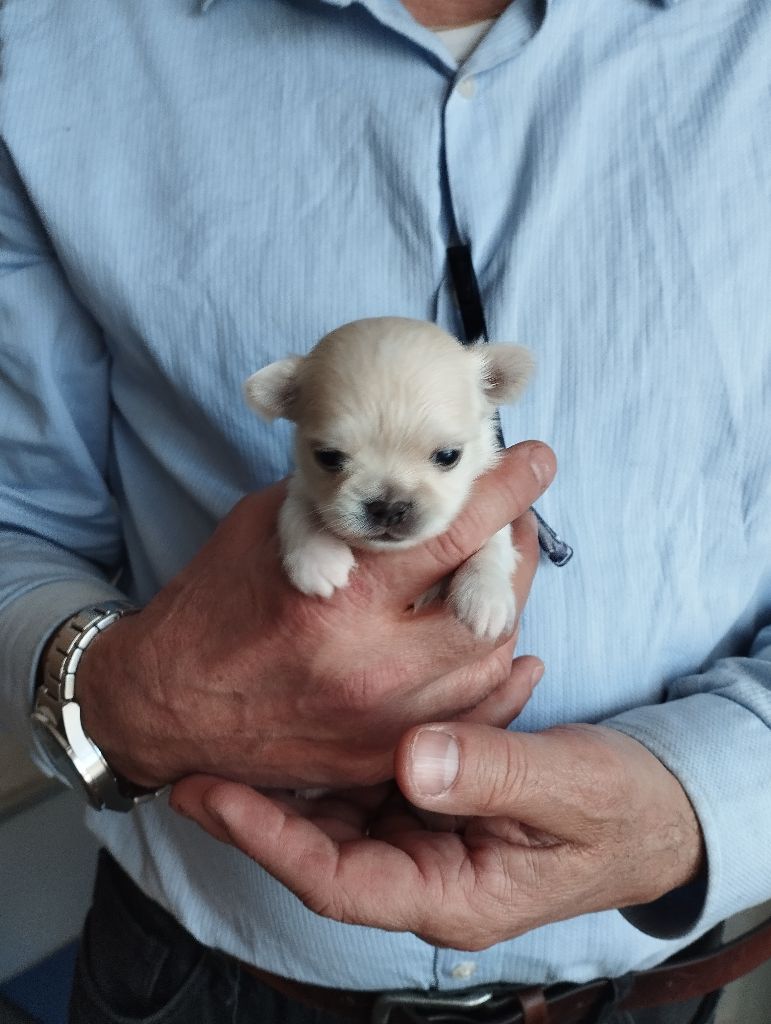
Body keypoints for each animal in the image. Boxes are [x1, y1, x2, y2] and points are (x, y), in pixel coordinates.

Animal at [244, 316, 533, 640]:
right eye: (328, 457)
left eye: (448, 456)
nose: (388, 507)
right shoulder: (300, 486)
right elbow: (296, 512)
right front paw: (318, 558)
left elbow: (494, 543)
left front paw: (485, 594)